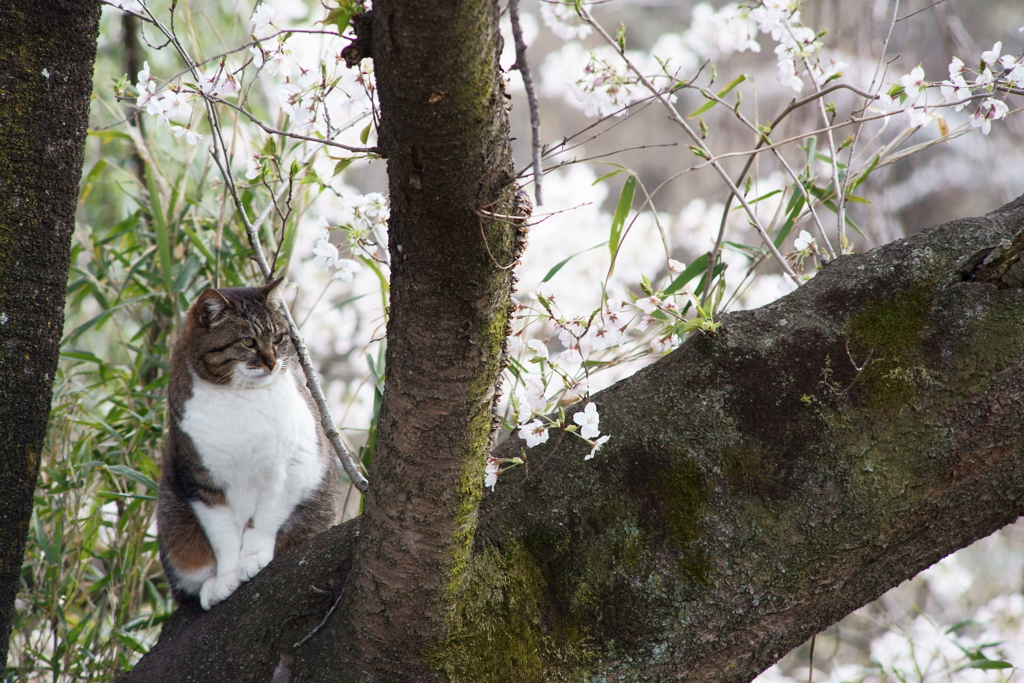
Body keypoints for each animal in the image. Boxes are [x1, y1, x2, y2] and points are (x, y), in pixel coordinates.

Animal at [157, 278, 344, 610]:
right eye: (248, 342)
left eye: (279, 337)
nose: (271, 363)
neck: (240, 397)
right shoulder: (200, 482)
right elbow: (224, 537)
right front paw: (226, 577)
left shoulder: (291, 469)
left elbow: (264, 518)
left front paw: (254, 556)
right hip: (173, 520)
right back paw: (208, 586)